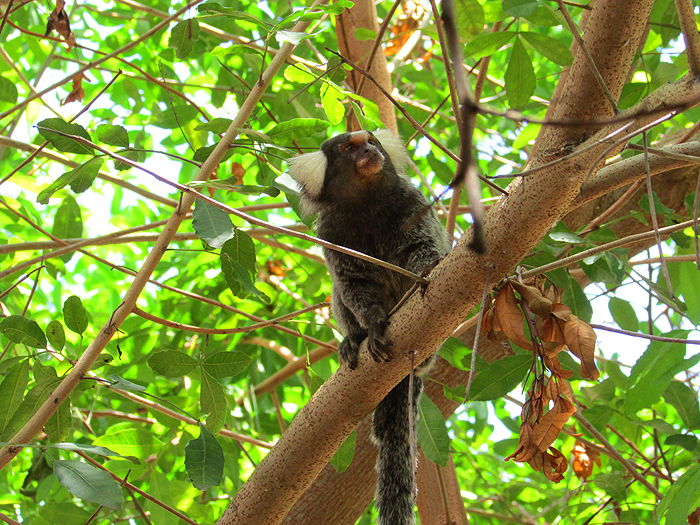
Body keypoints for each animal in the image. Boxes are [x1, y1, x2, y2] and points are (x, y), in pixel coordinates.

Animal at [287, 130, 449, 525]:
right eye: (349, 148)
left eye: (371, 141)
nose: (369, 151)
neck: (365, 204)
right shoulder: (332, 233)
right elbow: (352, 284)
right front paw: (372, 326)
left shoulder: (412, 205)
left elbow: (422, 247)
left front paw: (425, 270)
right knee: (339, 294)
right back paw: (354, 338)